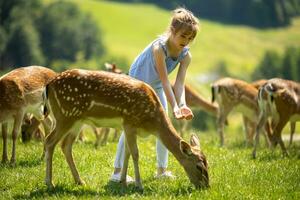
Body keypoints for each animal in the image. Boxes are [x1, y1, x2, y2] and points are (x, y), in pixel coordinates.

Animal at [44, 69, 209, 190]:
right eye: (199, 167)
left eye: (208, 163)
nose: (206, 186)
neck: (152, 122)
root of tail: (49, 85)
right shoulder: (130, 123)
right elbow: (135, 153)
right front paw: (139, 184)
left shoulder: (127, 127)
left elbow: (127, 153)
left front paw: (123, 181)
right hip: (65, 115)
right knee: (49, 141)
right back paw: (49, 183)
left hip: (77, 120)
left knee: (65, 145)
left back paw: (79, 181)